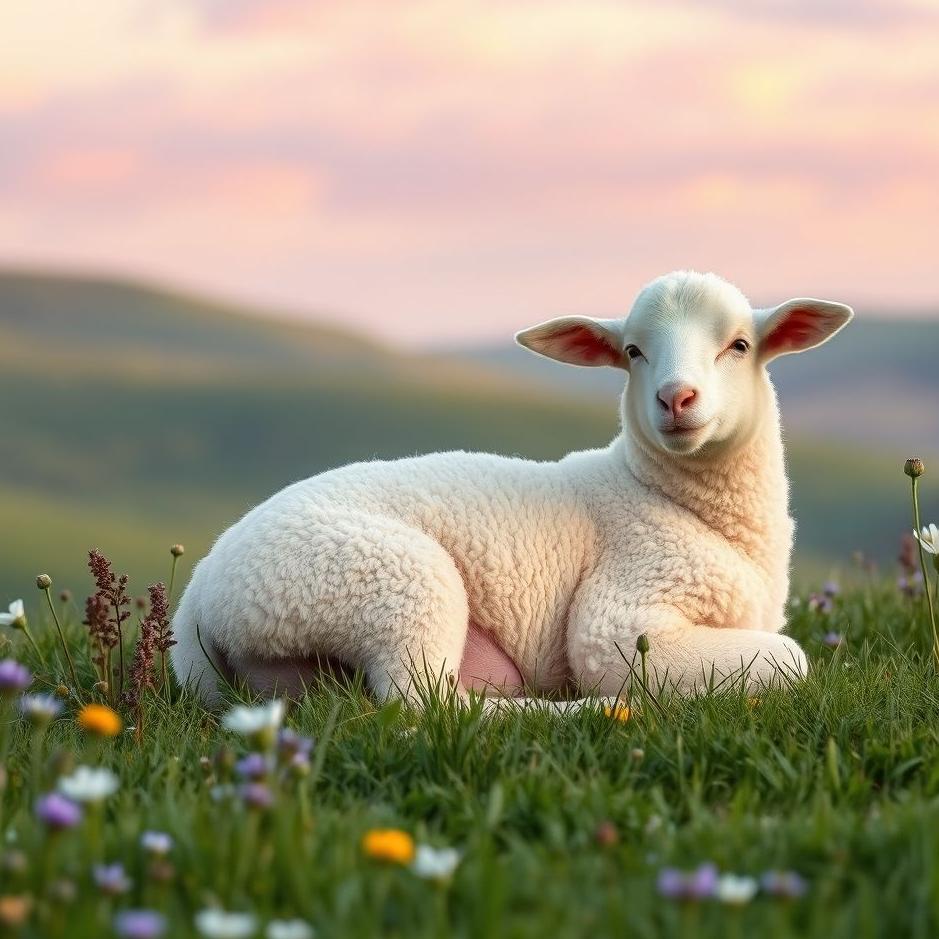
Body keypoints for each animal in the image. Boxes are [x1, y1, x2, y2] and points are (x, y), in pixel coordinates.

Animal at [170, 270, 853, 708]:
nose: (675, 398)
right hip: (389, 582)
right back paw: (578, 714)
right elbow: (792, 658)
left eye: (739, 345)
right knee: (423, 709)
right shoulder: (623, 617)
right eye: (633, 351)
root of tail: (197, 601)